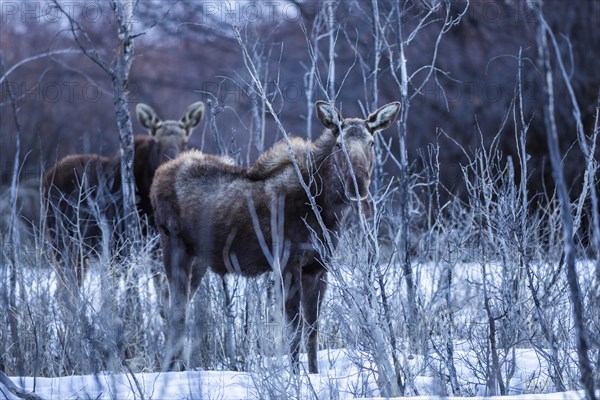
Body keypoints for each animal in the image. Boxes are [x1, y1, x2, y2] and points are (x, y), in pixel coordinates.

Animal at [42, 101, 206, 286]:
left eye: (185, 142)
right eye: (157, 143)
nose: (171, 163)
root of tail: (46, 178)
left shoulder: (157, 248)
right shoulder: (119, 246)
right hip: (63, 241)